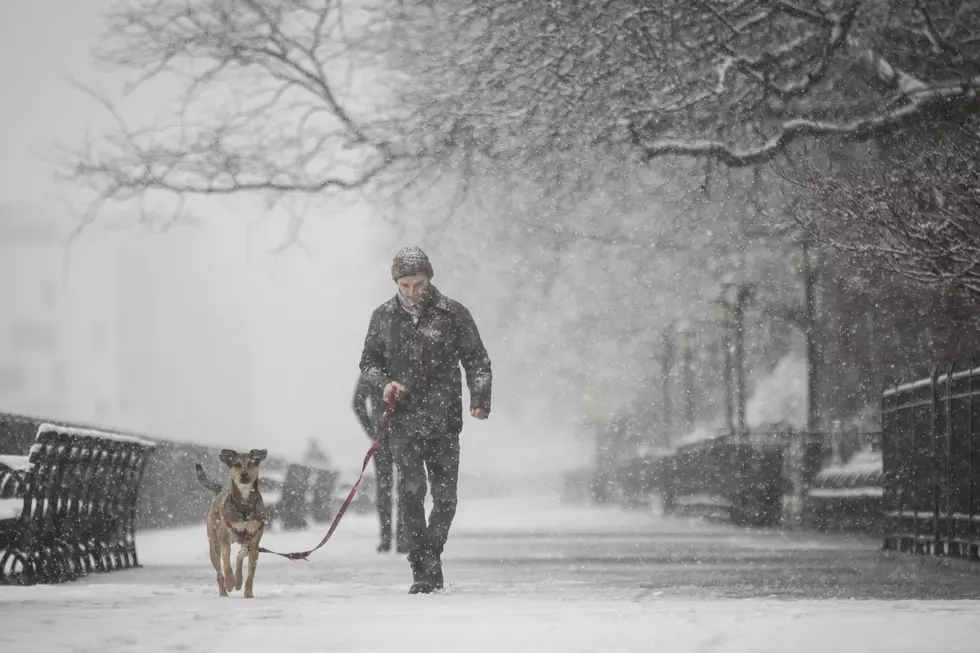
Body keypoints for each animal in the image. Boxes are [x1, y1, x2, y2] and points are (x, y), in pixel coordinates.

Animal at [194, 448, 266, 596]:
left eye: (251, 463)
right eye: (236, 464)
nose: (244, 475)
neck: (244, 506)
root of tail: (221, 490)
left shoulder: (254, 542)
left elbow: (250, 574)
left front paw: (248, 594)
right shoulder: (225, 540)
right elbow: (227, 565)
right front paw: (229, 582)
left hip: (247, 543)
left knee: (240, 555)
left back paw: (238, 580)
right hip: (214, 544)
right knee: (219, 572)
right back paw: (224, 591)